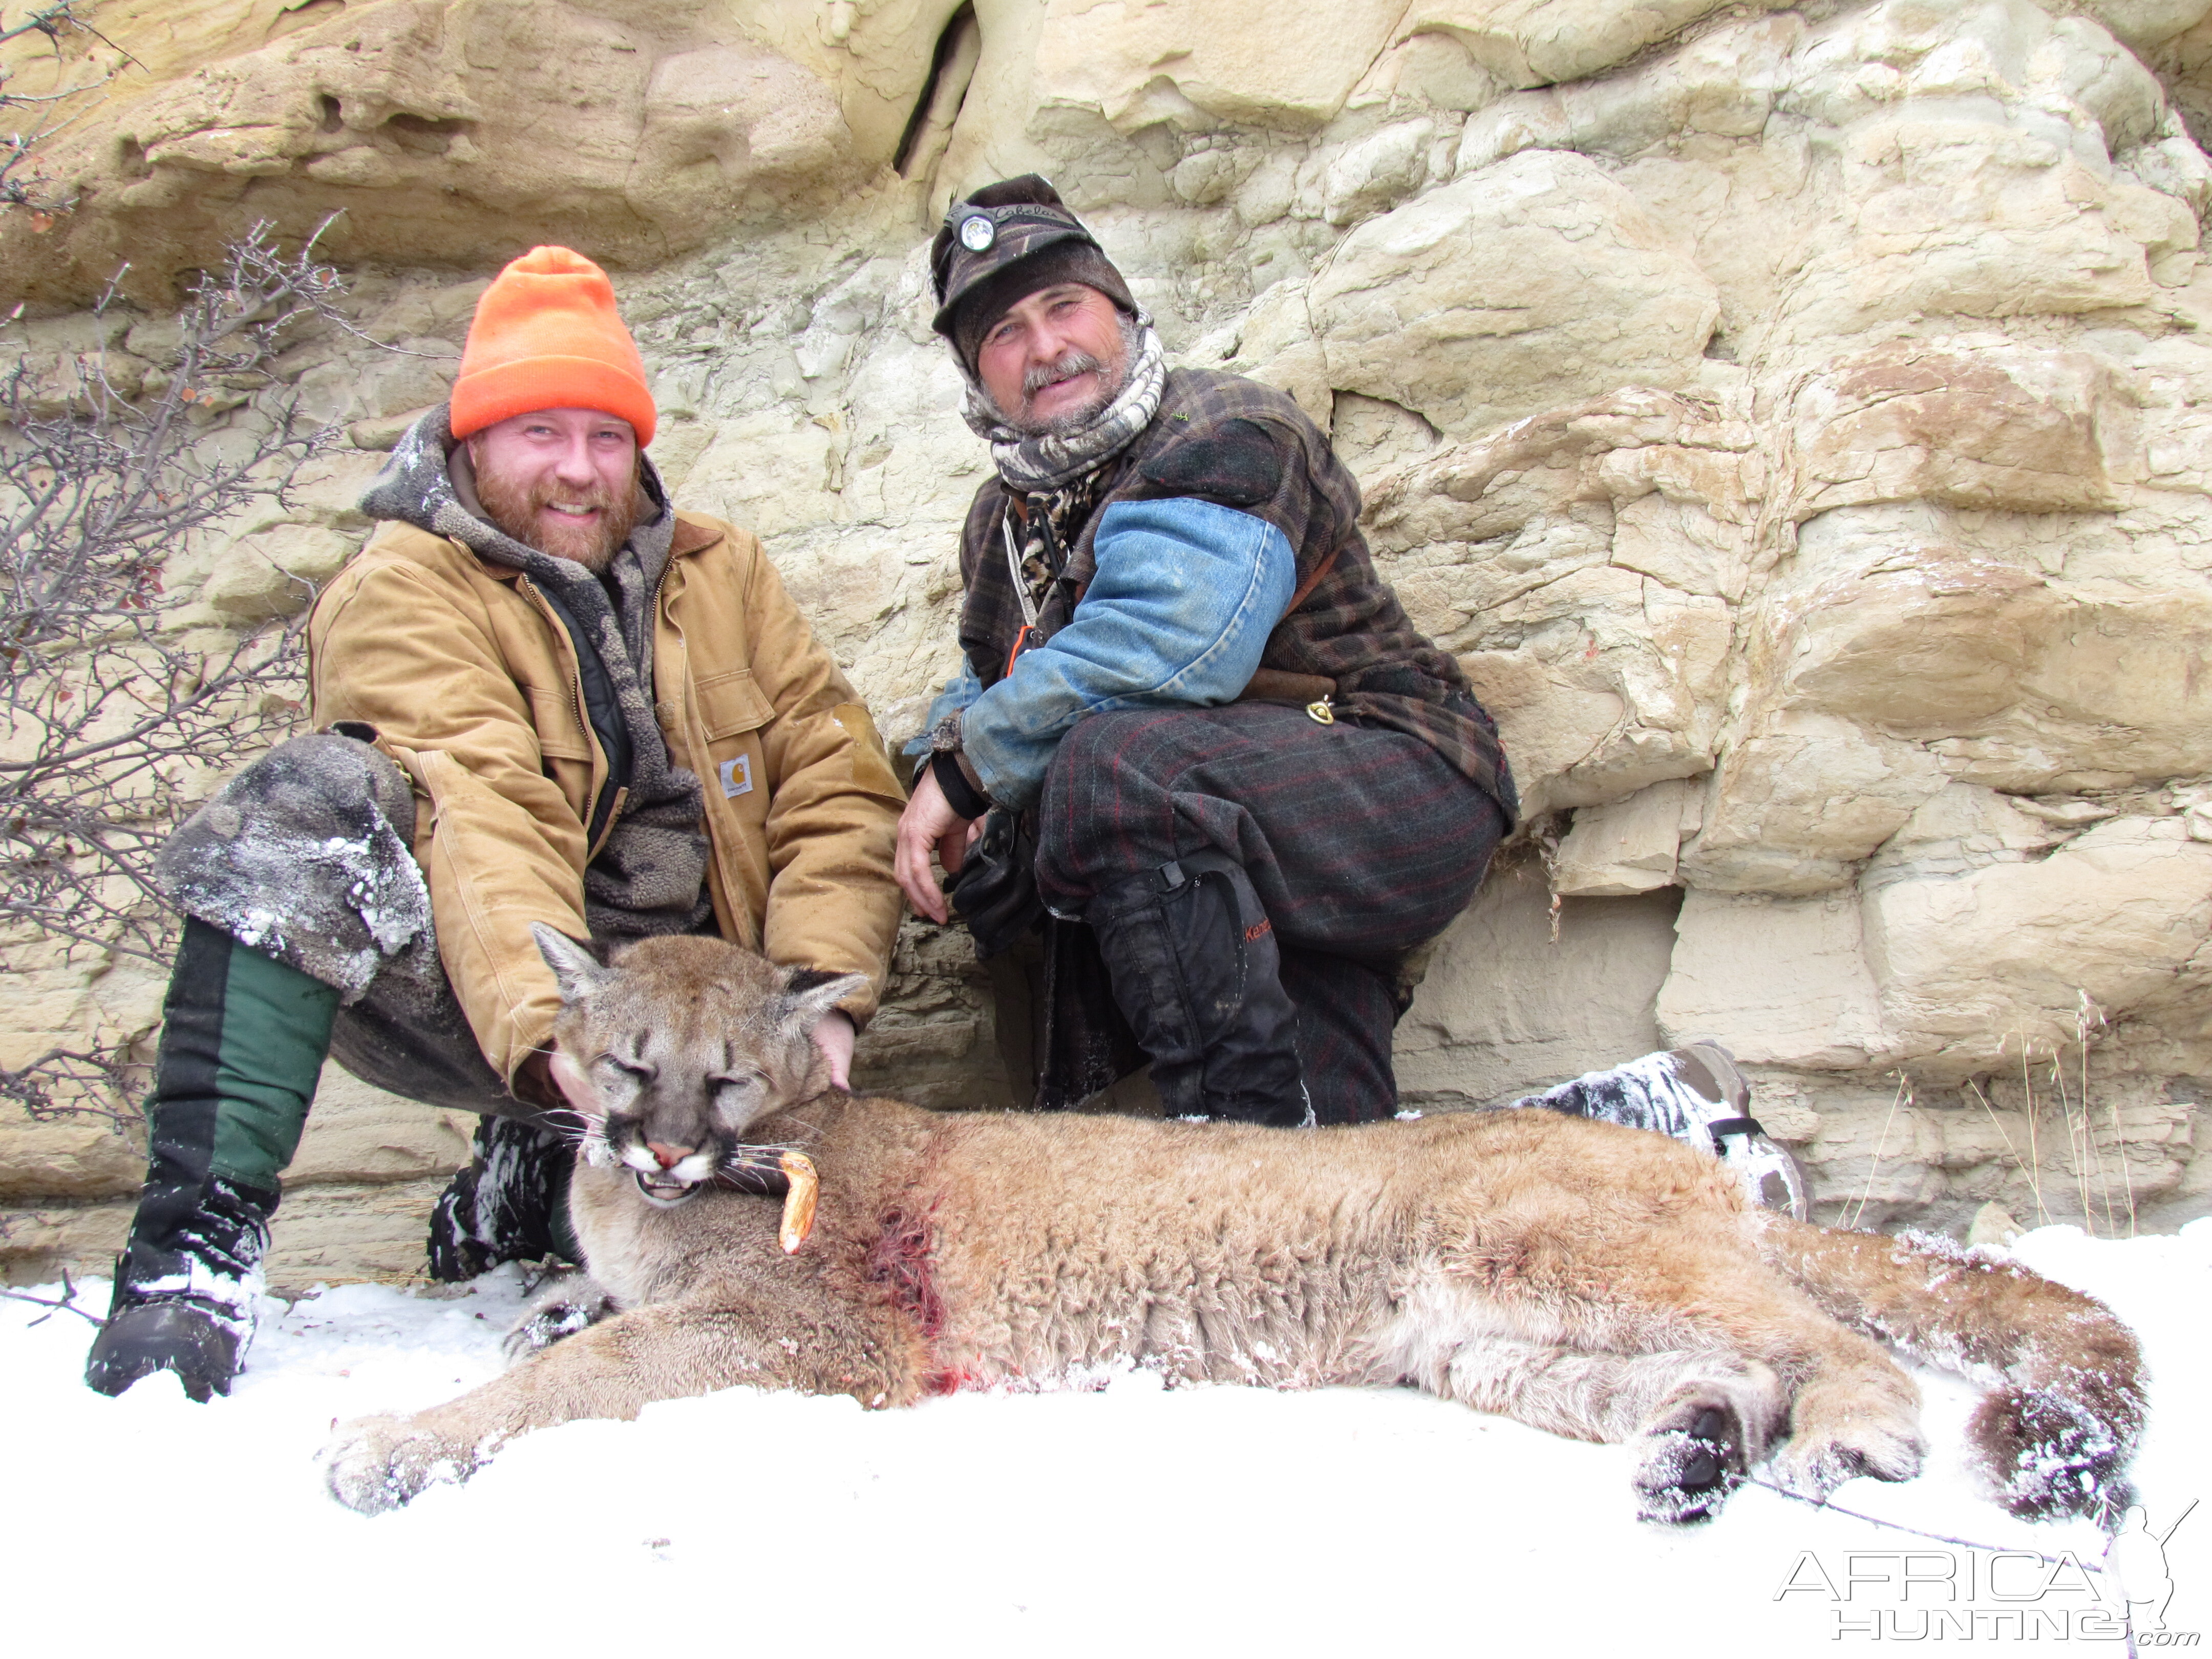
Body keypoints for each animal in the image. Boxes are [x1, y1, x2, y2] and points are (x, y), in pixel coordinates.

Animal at [321, 938, 2150, 1522]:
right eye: (631, 1065)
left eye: (732, 1083)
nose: (665, 1150)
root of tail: (1699, 1168)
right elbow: (575, 1336)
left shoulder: (806, 1331)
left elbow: (582, 1381)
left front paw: (396, 1442)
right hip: (1491, 1343)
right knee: (1719, 1370)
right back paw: (1694, 1453)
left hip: (1541, 1261)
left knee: (1827, 1341)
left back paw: (1847, 1442)